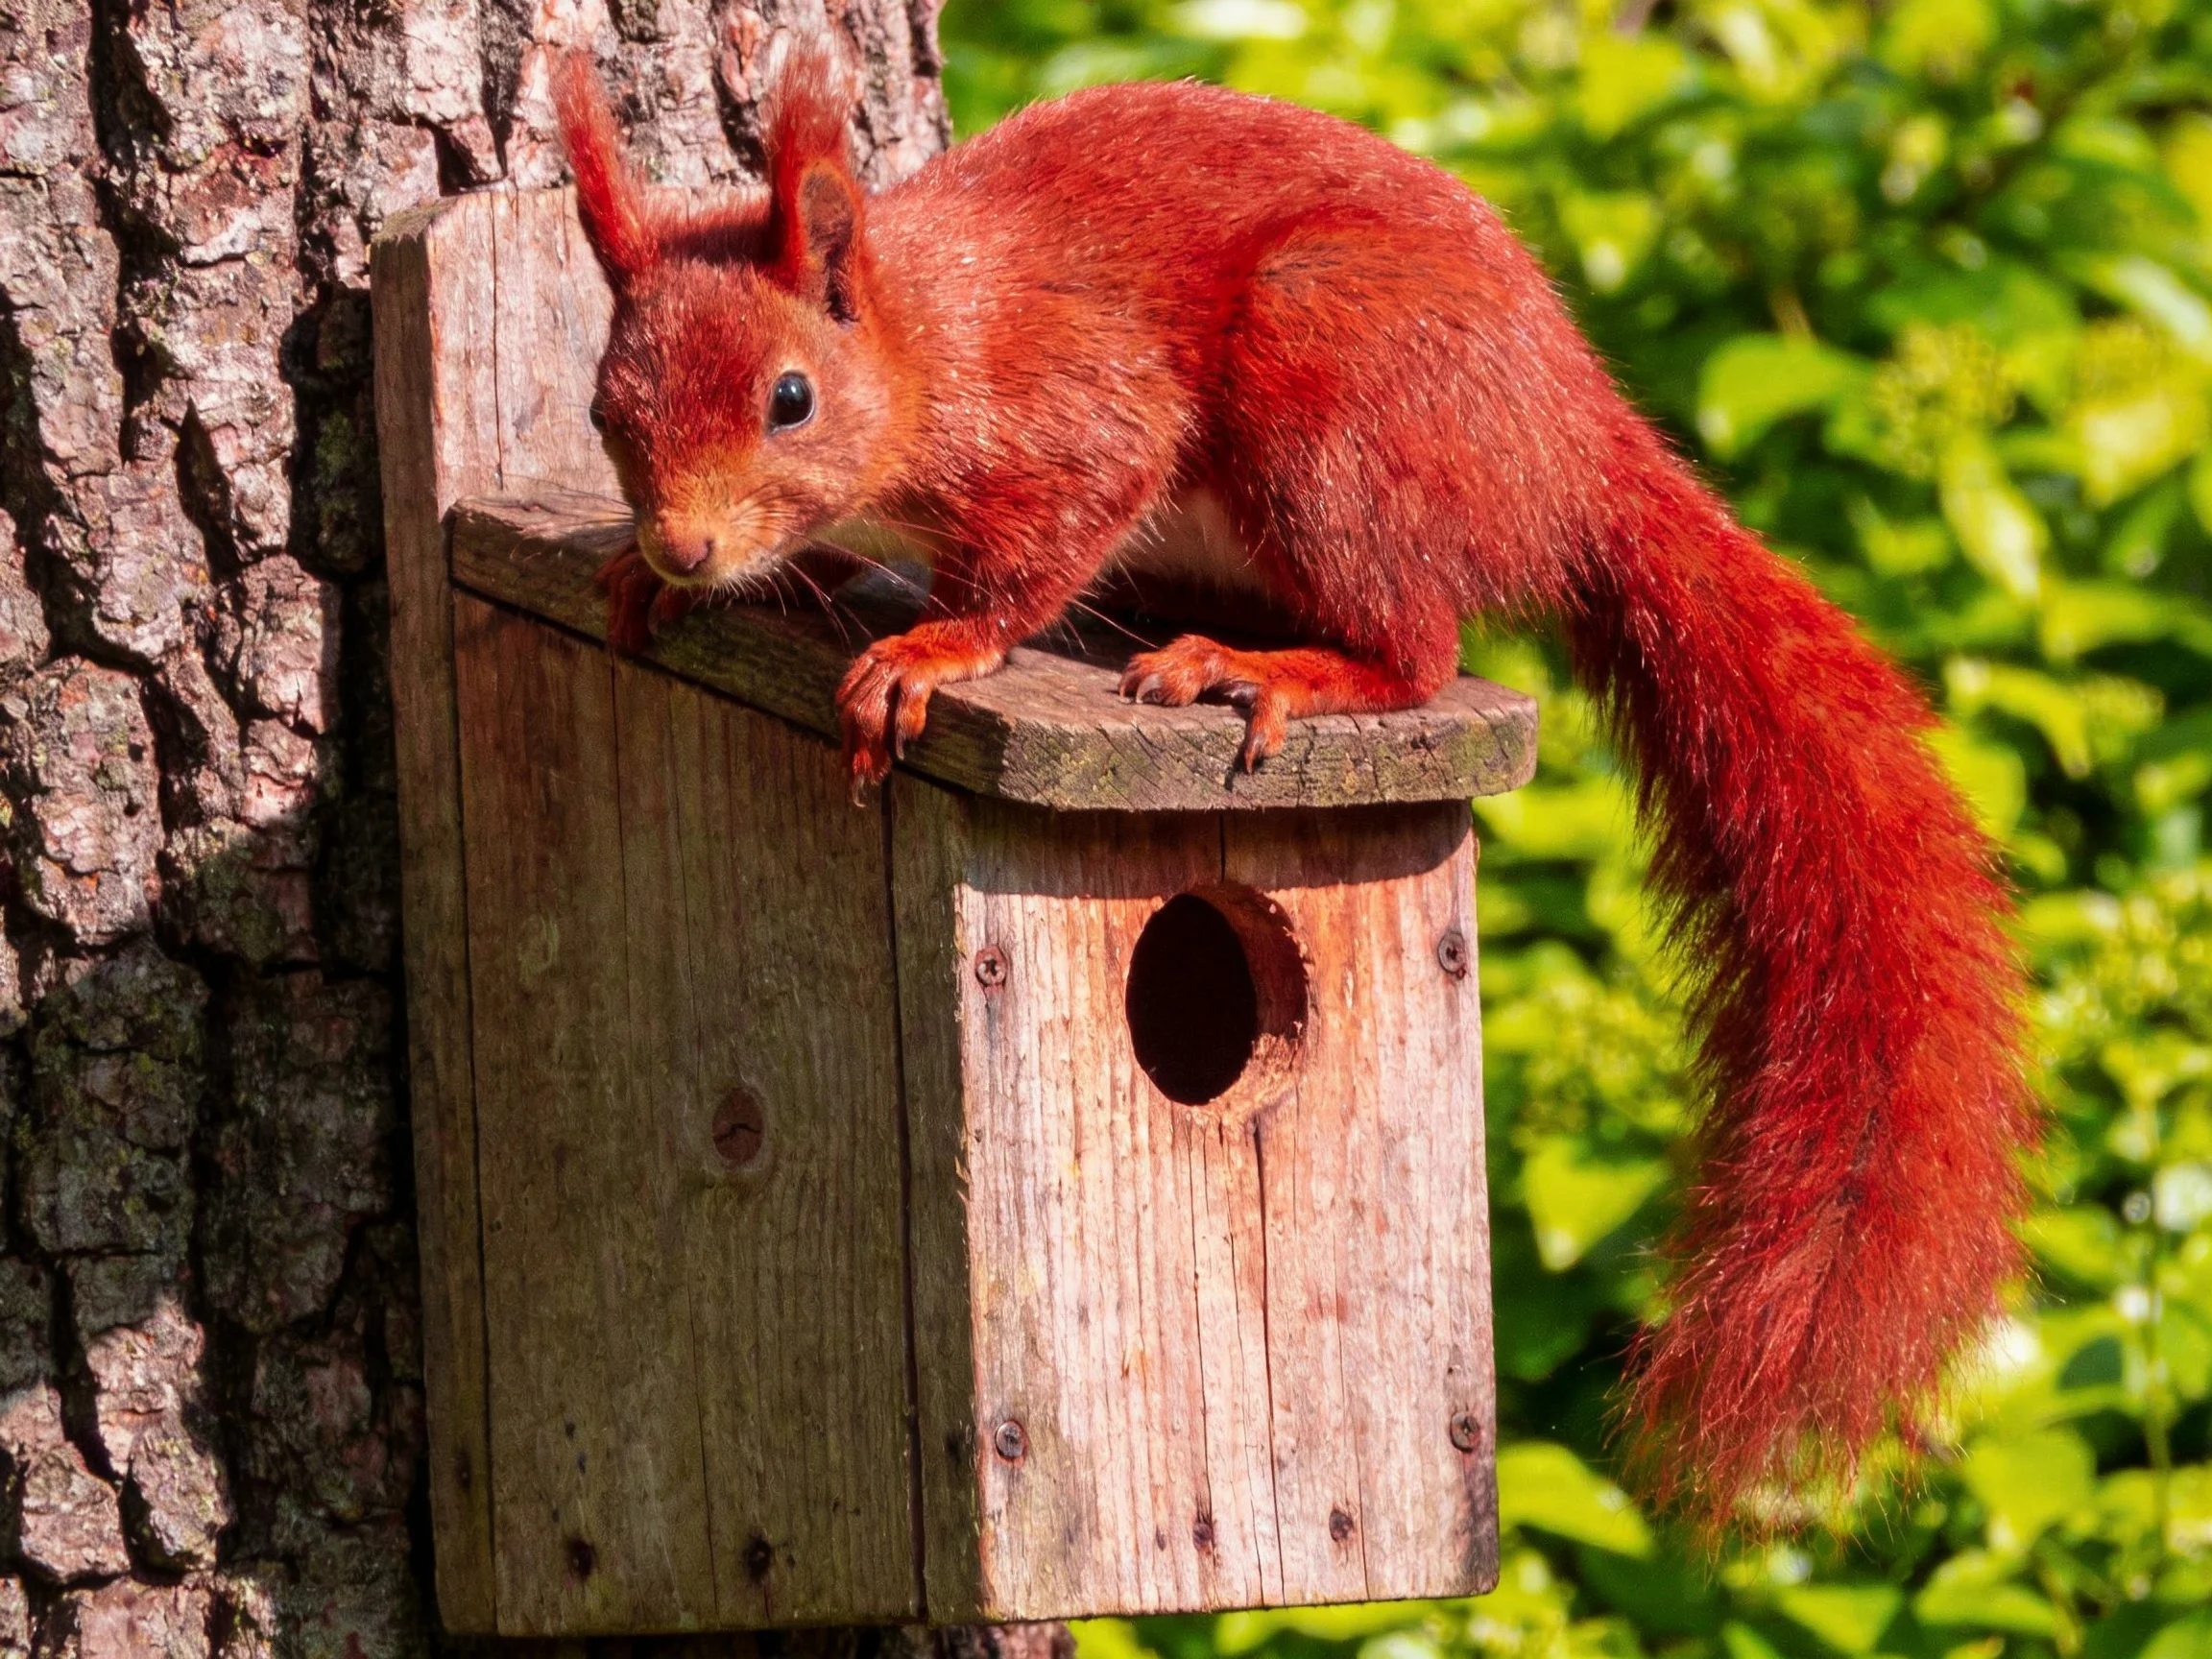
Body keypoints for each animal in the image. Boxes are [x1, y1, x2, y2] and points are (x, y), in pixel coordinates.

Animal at [553, 42, 2033, 1532]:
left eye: (790, 399)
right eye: (605, 410)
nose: (683, 546)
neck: (922, 338)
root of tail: (1569, 447)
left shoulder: (1080, 409)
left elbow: (1049, 538)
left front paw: (932, 649)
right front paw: (675, 583)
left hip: (1330, 381)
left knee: (1420, 649)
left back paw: (1272, 669)